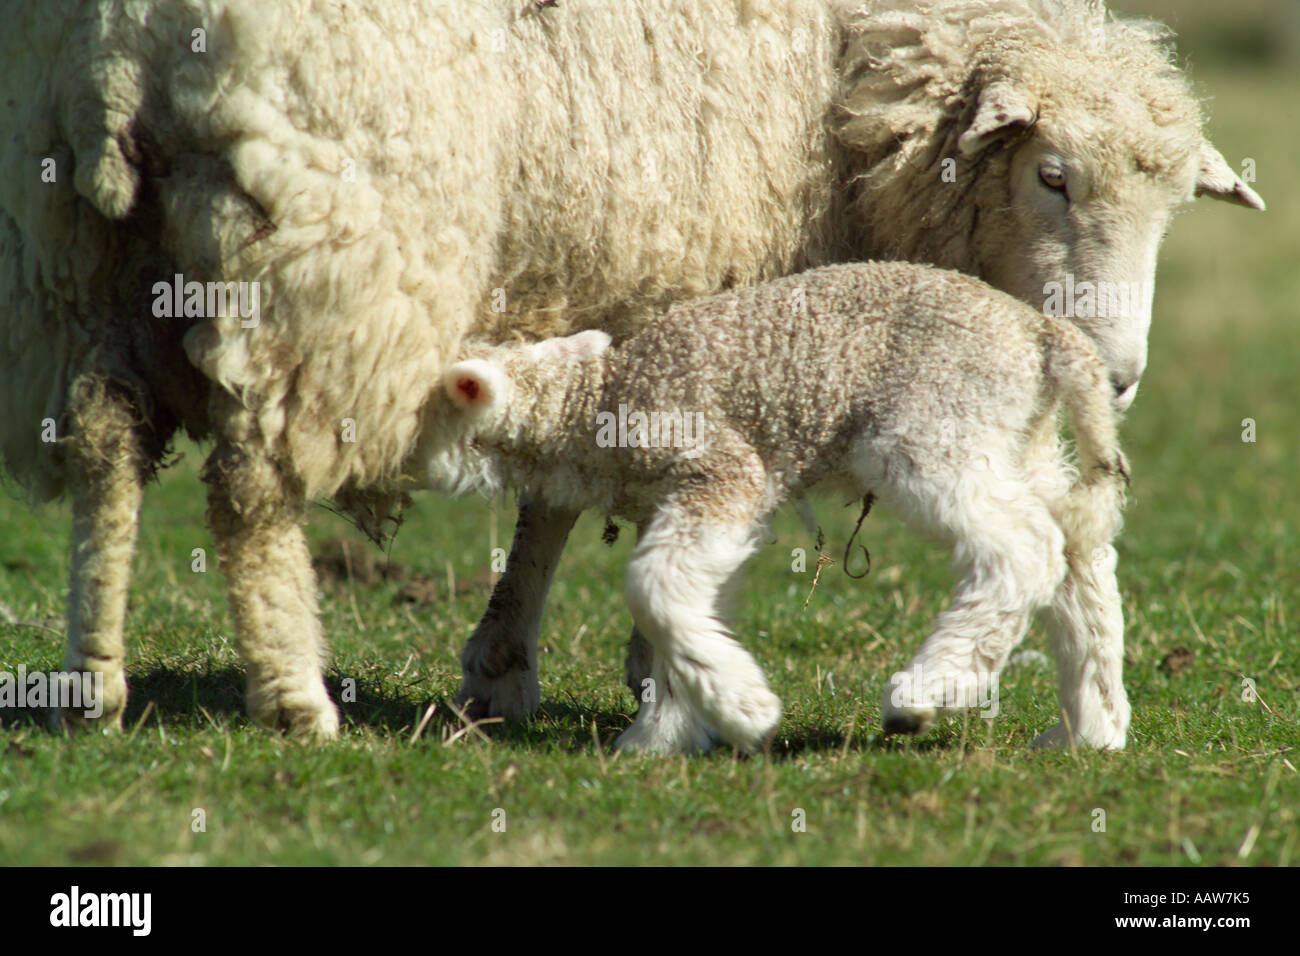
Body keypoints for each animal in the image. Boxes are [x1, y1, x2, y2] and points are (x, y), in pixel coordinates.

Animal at [427, 260, 1131, 753]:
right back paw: (1089, 729)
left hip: (939, 429)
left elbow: (652, 588)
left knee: (1024, 549)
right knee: (1079, 556)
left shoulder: (722, 470)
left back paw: (926, 692)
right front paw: (665, 734)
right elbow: (680, 607)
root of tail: (1044, 333)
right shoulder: (691, 503)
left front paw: (743, 713)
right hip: (1019, 443)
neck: (592, 401)